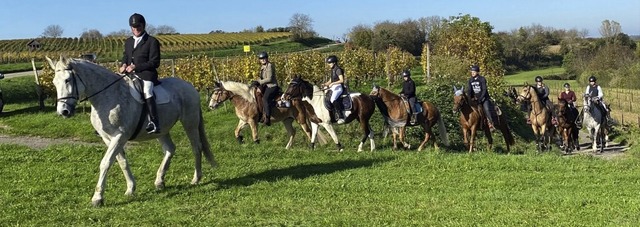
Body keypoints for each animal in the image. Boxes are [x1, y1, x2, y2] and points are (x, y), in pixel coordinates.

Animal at [46, 55, 218, 207]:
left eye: (67, 80)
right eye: (54, 82)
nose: (63, 112)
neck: (108, 96)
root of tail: (189, 85)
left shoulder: (120, 136)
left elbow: (106, 162)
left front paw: (97, 198)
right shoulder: (108, 138)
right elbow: (121, 162)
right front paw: (130, 189)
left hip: (190, 122)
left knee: (196, 147)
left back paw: (196, 179)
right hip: (161, 130)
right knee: (170, 149)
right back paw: (159, 181)